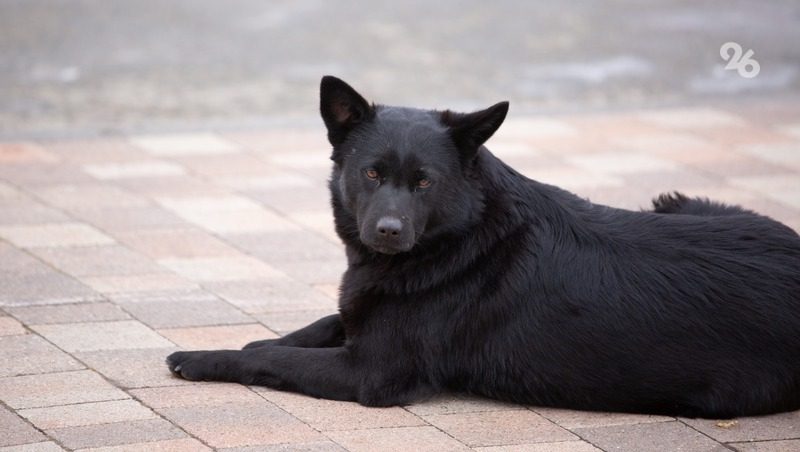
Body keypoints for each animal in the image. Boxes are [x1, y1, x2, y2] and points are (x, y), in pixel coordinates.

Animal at [164, 76, 800, 418]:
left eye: (424, 182)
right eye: (371, 174)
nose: (388, 231)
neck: (460, 237)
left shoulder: (371, 373)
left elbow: (273, 359)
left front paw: (204, 358)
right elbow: (320, 322)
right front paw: (256, 337)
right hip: (679, 201)